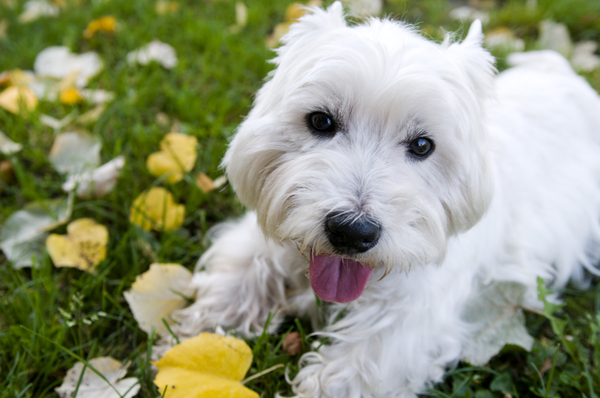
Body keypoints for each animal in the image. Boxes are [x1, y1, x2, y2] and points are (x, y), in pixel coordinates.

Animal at [166, 2, 600, 394]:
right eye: (320, 120)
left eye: (423, 145)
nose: (351, 232)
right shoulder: (266, 230)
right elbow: (240, 270)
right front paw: (199, 340)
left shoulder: (416, 313)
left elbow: (361, 362)